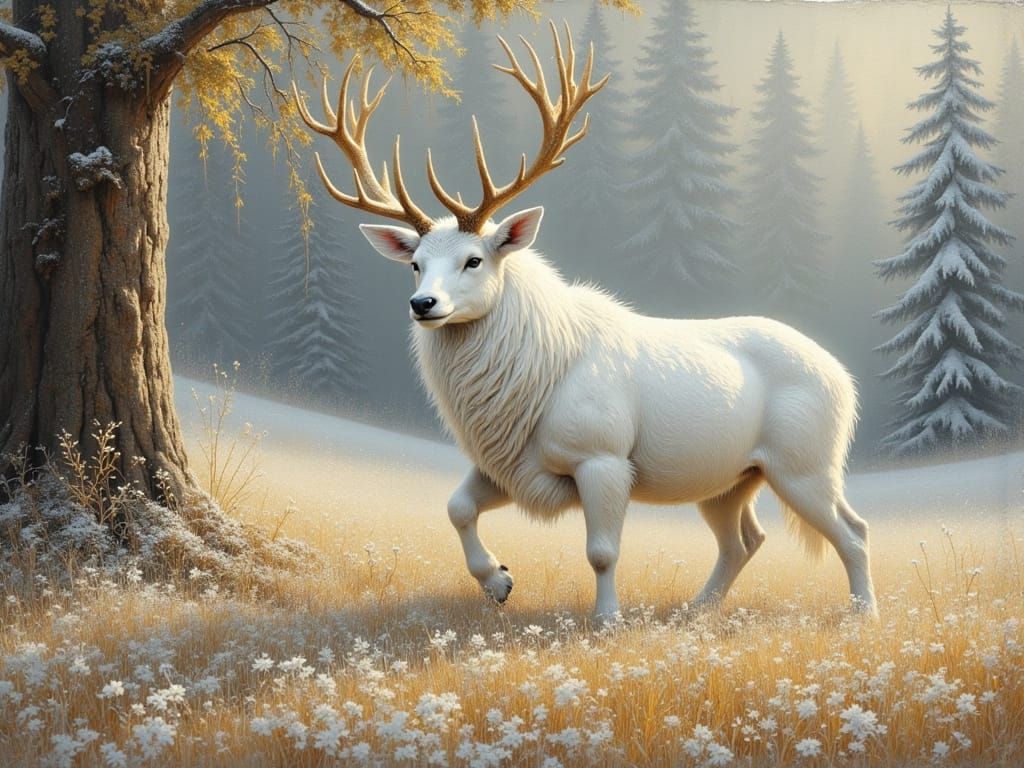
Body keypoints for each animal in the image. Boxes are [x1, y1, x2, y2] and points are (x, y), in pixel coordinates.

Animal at [294, 23, 878, 621]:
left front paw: (606, 620)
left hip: (804, 463)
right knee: (745, 539)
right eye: (415, 264)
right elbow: (456, 506)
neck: (528, 387)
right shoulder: (511, 466)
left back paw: (863, 615)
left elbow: (602, 550)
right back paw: (695, 609)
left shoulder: (603, 457)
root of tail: (844, 380)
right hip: (730, 479)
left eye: (474, 260)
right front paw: (499, 581)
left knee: (853, 530)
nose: (423, 304)